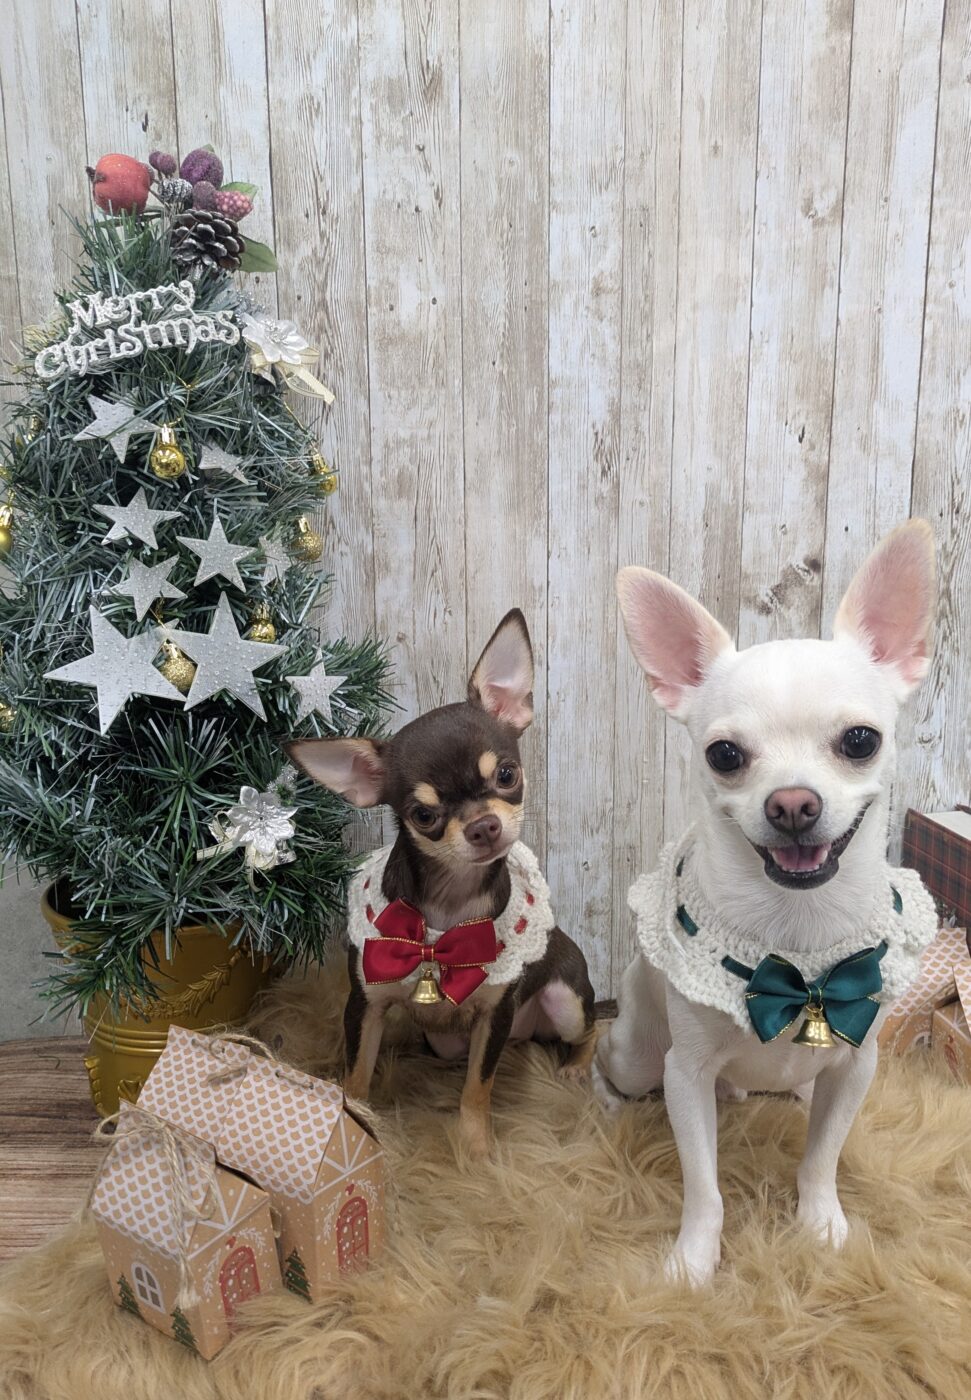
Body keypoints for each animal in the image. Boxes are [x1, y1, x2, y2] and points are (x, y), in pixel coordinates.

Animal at [288, 609, 596, 1156]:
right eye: (424, 815)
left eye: (507, 775)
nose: (483, 826)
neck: (448, 909)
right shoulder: (365, 1005)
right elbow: (357, 1076)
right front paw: (358, 1124)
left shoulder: (496, 1015)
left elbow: (478, 1086)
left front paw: (474, 1151)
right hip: (448, 1041)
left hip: (564, 1003)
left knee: (596, 1026)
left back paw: (578, 1067)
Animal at [594, 520, 939, 1285]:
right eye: (725, 755)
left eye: (860, 740)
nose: (791, 804)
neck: (796, 938)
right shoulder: (685, 1076)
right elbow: (705, 1188)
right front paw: (693, 1263)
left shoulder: (859, 1064)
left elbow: (821, 1159)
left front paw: (822, 1226)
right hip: (639, 1056)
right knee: (610, 1060)